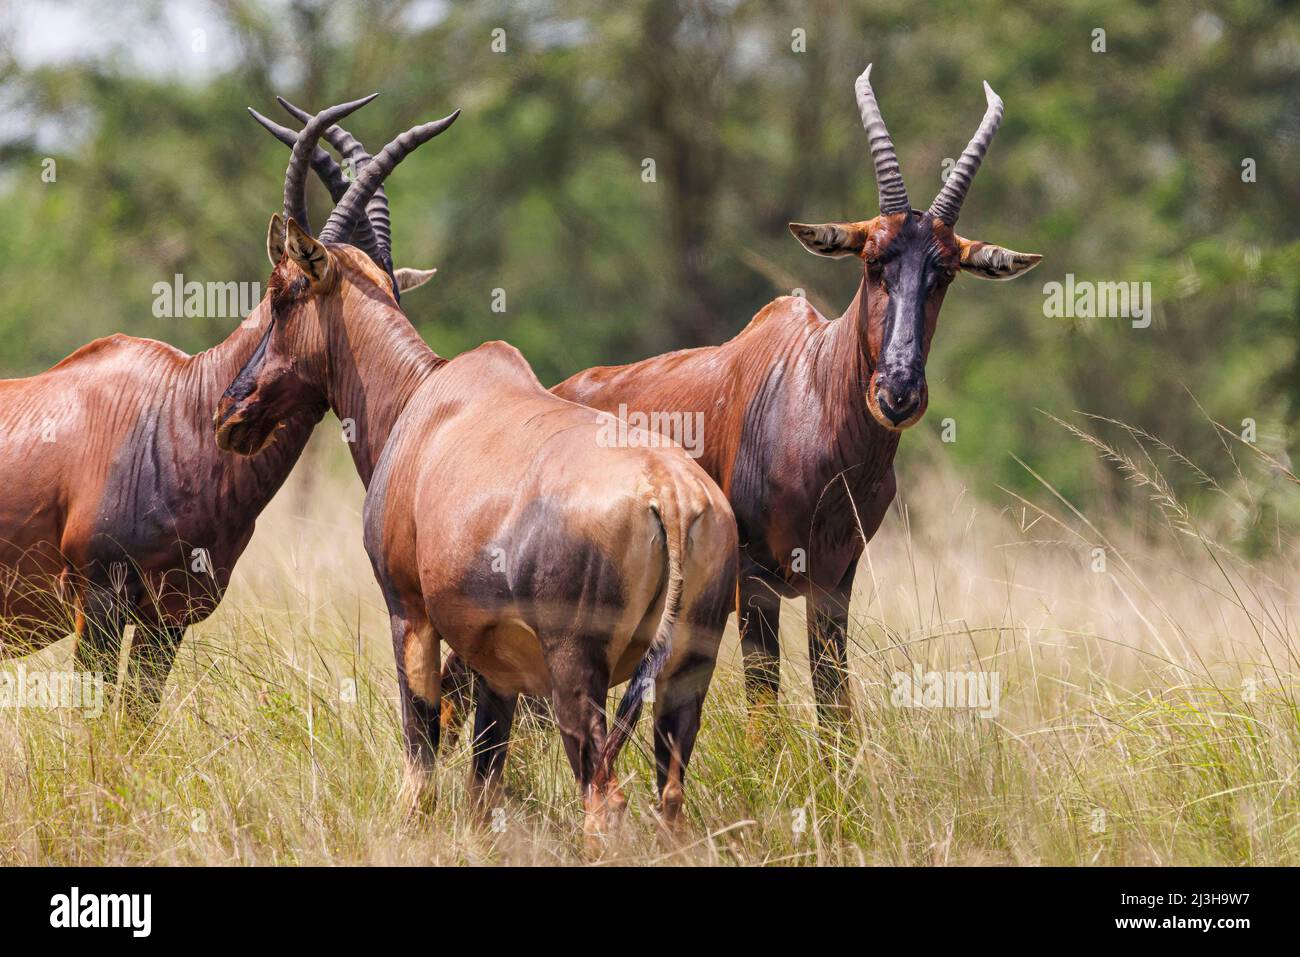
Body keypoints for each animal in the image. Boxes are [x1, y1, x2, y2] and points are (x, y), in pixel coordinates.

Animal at [218, 95, 738, 832]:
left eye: (282, 291)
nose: (232, 413)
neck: (428, 400)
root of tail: (669, 494)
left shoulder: (410, 611)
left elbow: (421, 749)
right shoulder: (494, 658)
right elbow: (485, 776)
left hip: (577, 671)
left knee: (602, 793)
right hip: (688, 668)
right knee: (669, 797)